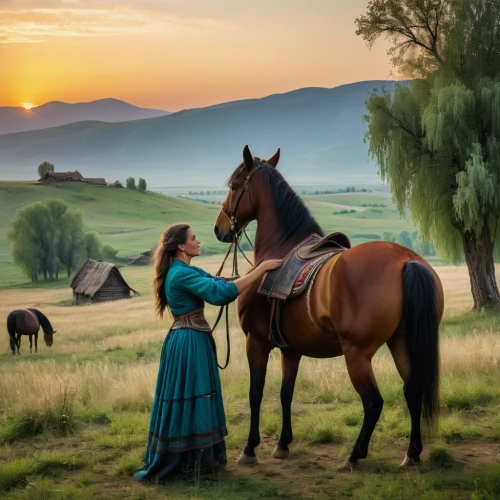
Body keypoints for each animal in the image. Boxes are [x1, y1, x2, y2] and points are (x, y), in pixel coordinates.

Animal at [213, 145, 444, 468]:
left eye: (234, 186)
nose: (219, 228)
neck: (278, 251)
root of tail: (406, 261)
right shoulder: (290, 350)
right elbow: (286, 393)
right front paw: (283, 444)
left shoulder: (256, 342)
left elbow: (255, 393)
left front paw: (250, 448)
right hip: (401, 342)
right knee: (413, 390)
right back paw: (411, 453)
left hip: (357, 353)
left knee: (373, 402)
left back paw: (355, 455)